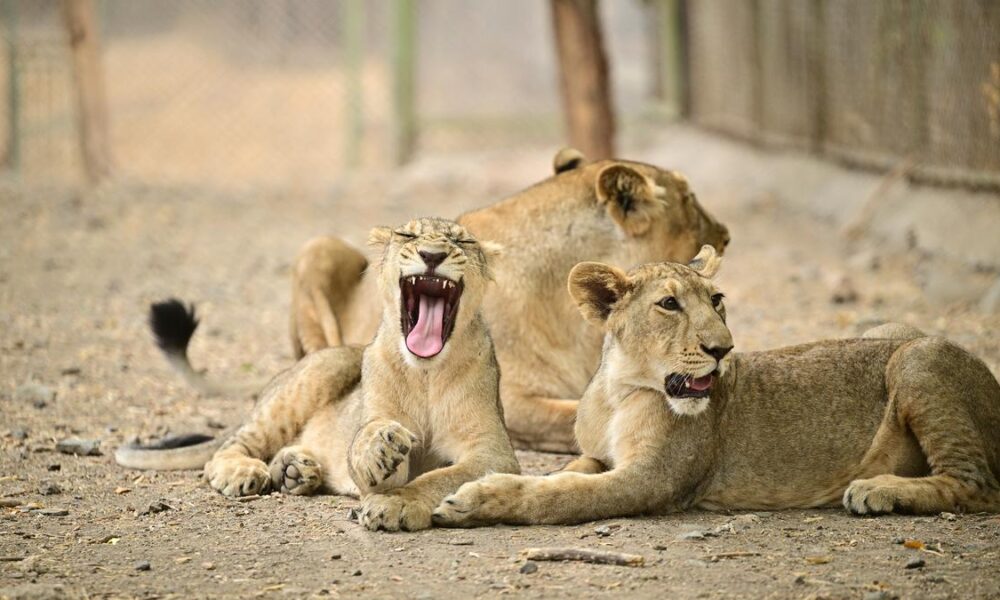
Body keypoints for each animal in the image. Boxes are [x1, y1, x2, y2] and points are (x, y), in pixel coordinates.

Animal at [120, 218, 519, 532]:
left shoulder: (494, 454)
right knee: (228, 447)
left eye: (463, 242)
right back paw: (245, 472)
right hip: (317, 374)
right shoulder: (376, 423)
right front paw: (377, 447)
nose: (433, 255)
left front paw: (398, 502)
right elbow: (365, 450)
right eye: (407, 235)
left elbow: (440, 478)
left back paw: (295, 471)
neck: (427, 374)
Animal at [431, 246, 1000, 526]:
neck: (621, 390)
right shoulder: (600, 457)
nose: (723, 349)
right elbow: (568, 475)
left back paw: (877, 490)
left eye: (717, 299)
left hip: (918, 357)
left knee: (978, 484)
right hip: (892, 333)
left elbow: (563, 497)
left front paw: (478, 499)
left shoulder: (653, 480)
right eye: (669, 304)